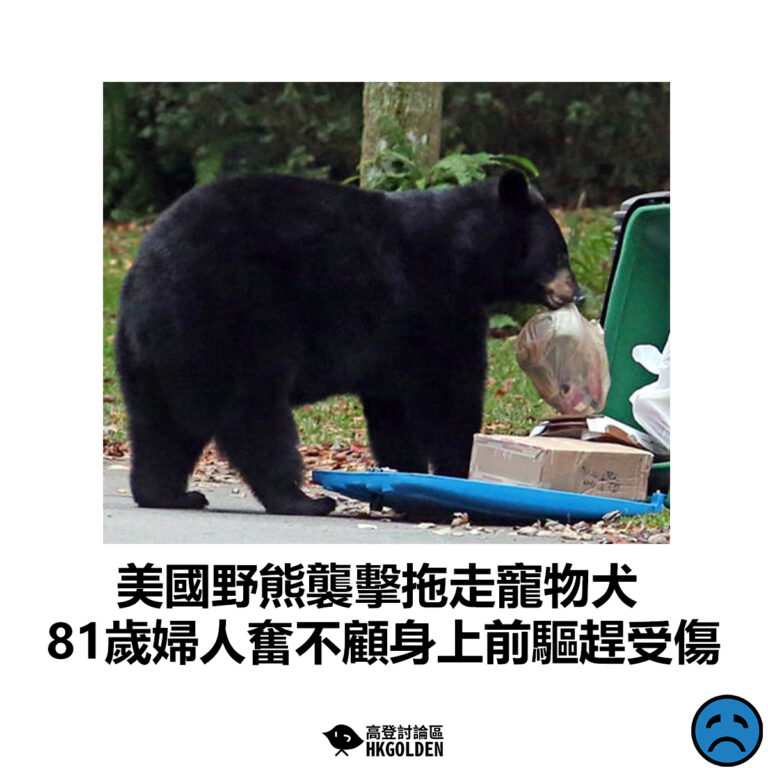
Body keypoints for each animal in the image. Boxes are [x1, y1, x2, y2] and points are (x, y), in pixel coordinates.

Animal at [115, 169, 581, 516]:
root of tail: (149, 278)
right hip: (240, 319)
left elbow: (393, 411)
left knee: (160, 426)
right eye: (559, 254)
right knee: (256, 416)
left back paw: (169, 494)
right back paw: (302, 499)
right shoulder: (433, 306)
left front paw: (406, 480)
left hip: (151, 357)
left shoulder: (395, 344)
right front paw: (455, 473)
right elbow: (448, 394)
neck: (463, 255)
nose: (576, 294)